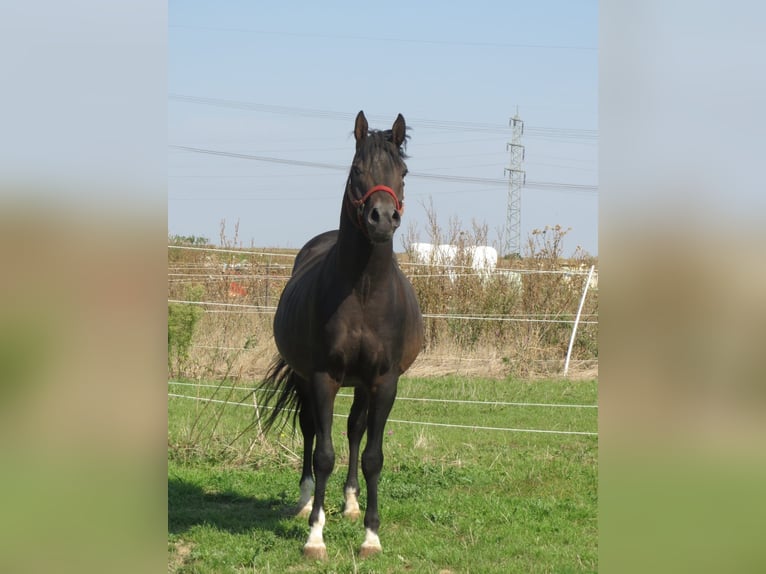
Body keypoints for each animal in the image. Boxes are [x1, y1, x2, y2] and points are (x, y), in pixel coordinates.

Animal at [258, 110, 426, 560]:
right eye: (357, 170)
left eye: (403, 172)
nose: (382, 218)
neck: (365, 292)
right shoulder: (322, 377)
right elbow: (324, 454)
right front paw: (315, 536)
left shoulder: (384, 381)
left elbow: (372, 456)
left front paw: (371, 535)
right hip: (305, 378)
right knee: (310, 430)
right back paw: (304, 501)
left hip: (363, 385)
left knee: (354, 429)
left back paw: (350, 502)